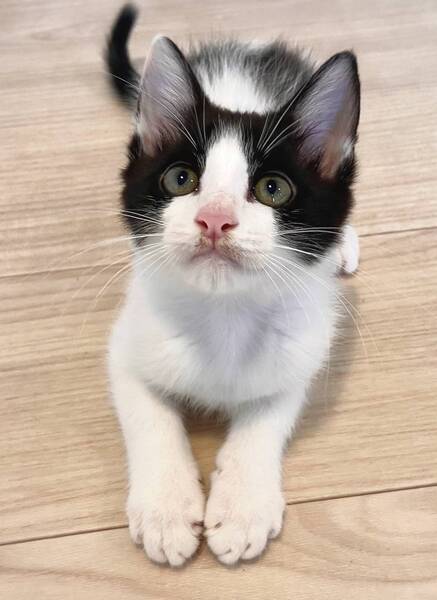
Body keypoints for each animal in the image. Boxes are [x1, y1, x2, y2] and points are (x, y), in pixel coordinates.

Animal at [105, 4, 360, 566]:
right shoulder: (127, 345)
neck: (224, 315)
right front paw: (166, 511)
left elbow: (268, 416)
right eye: (180, 179)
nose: (215, 220)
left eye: (273, 189)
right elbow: (149, 416)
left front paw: (243, 507)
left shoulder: (300, 351)